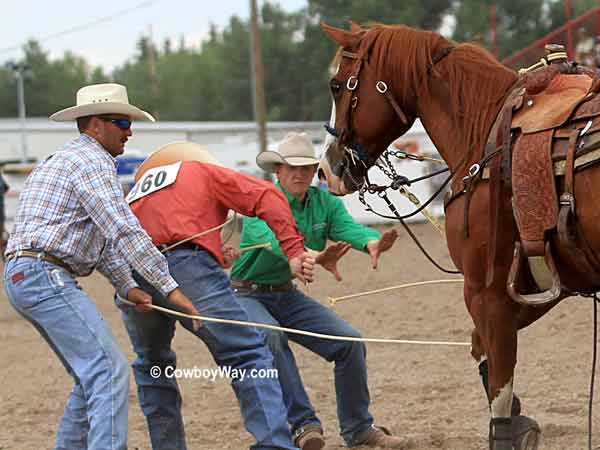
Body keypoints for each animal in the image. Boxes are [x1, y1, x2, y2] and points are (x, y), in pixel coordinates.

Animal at [318, 22, 600, 450]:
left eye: (337, 85)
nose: (327, 168)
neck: (484, 133)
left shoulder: (487, 289)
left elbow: (497, 379)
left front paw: (508, 426)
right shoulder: (544, 280)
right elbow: (478, 346)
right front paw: (523, 421)